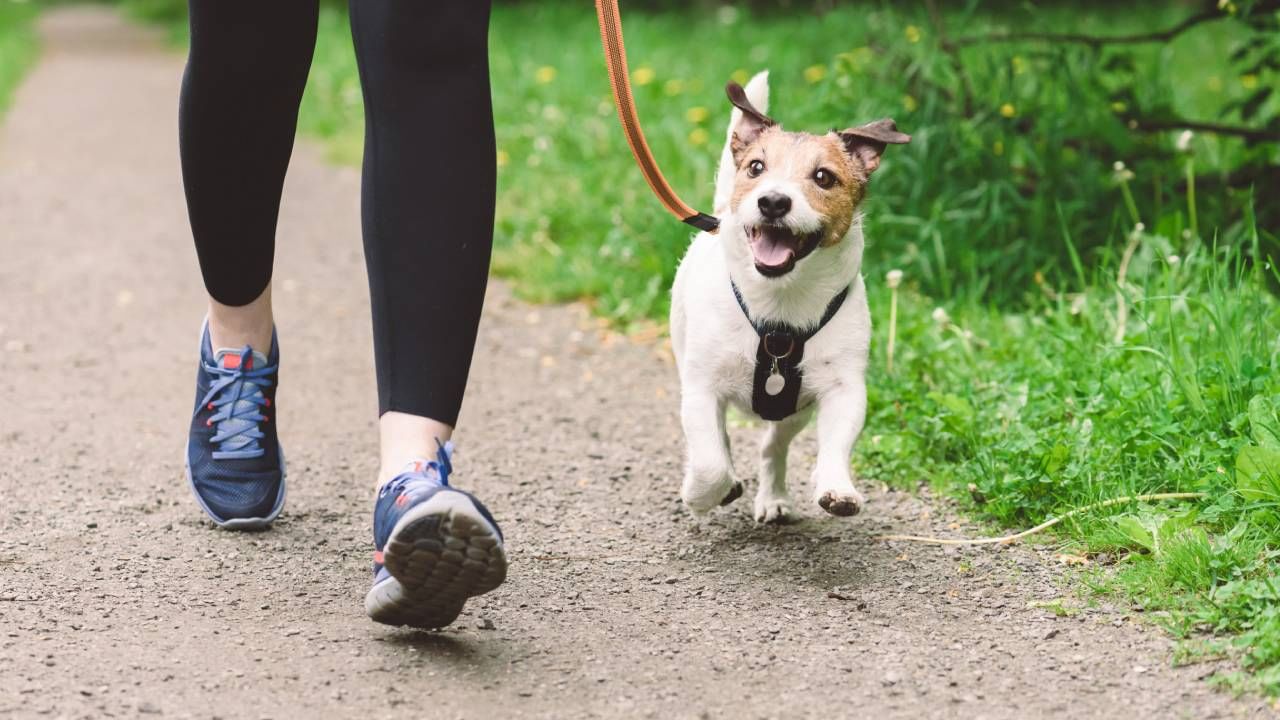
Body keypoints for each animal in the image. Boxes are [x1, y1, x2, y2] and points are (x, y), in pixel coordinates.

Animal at [670, 71, 911, 520]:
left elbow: (836, 443)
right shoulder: (701, 387)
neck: (780, 306)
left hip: (793, 411)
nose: (773, 201)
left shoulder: (842, 389)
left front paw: (837, 487)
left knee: (773, 446)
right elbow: (710, 461)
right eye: (756, 167)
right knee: (720, 442)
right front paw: (701, 493)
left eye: (823, 177)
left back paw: (774, 497)